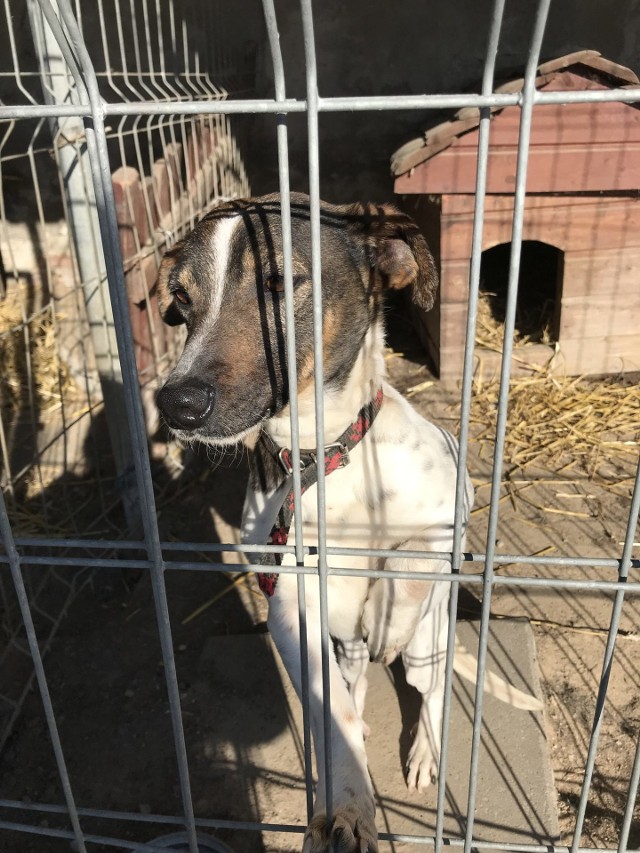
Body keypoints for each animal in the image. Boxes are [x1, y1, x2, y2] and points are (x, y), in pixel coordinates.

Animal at [156, 193, 540, 852]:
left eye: (280, 282)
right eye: (180, 300)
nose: (176, 404)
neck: (324, 457)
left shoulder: (453, 511)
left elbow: (410, 559)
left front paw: (388, 601)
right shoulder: (290, 606)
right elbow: (329, 708)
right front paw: (347, 806)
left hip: (430, 646)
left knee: (431, 691)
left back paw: (424, 750)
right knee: (354, 681)